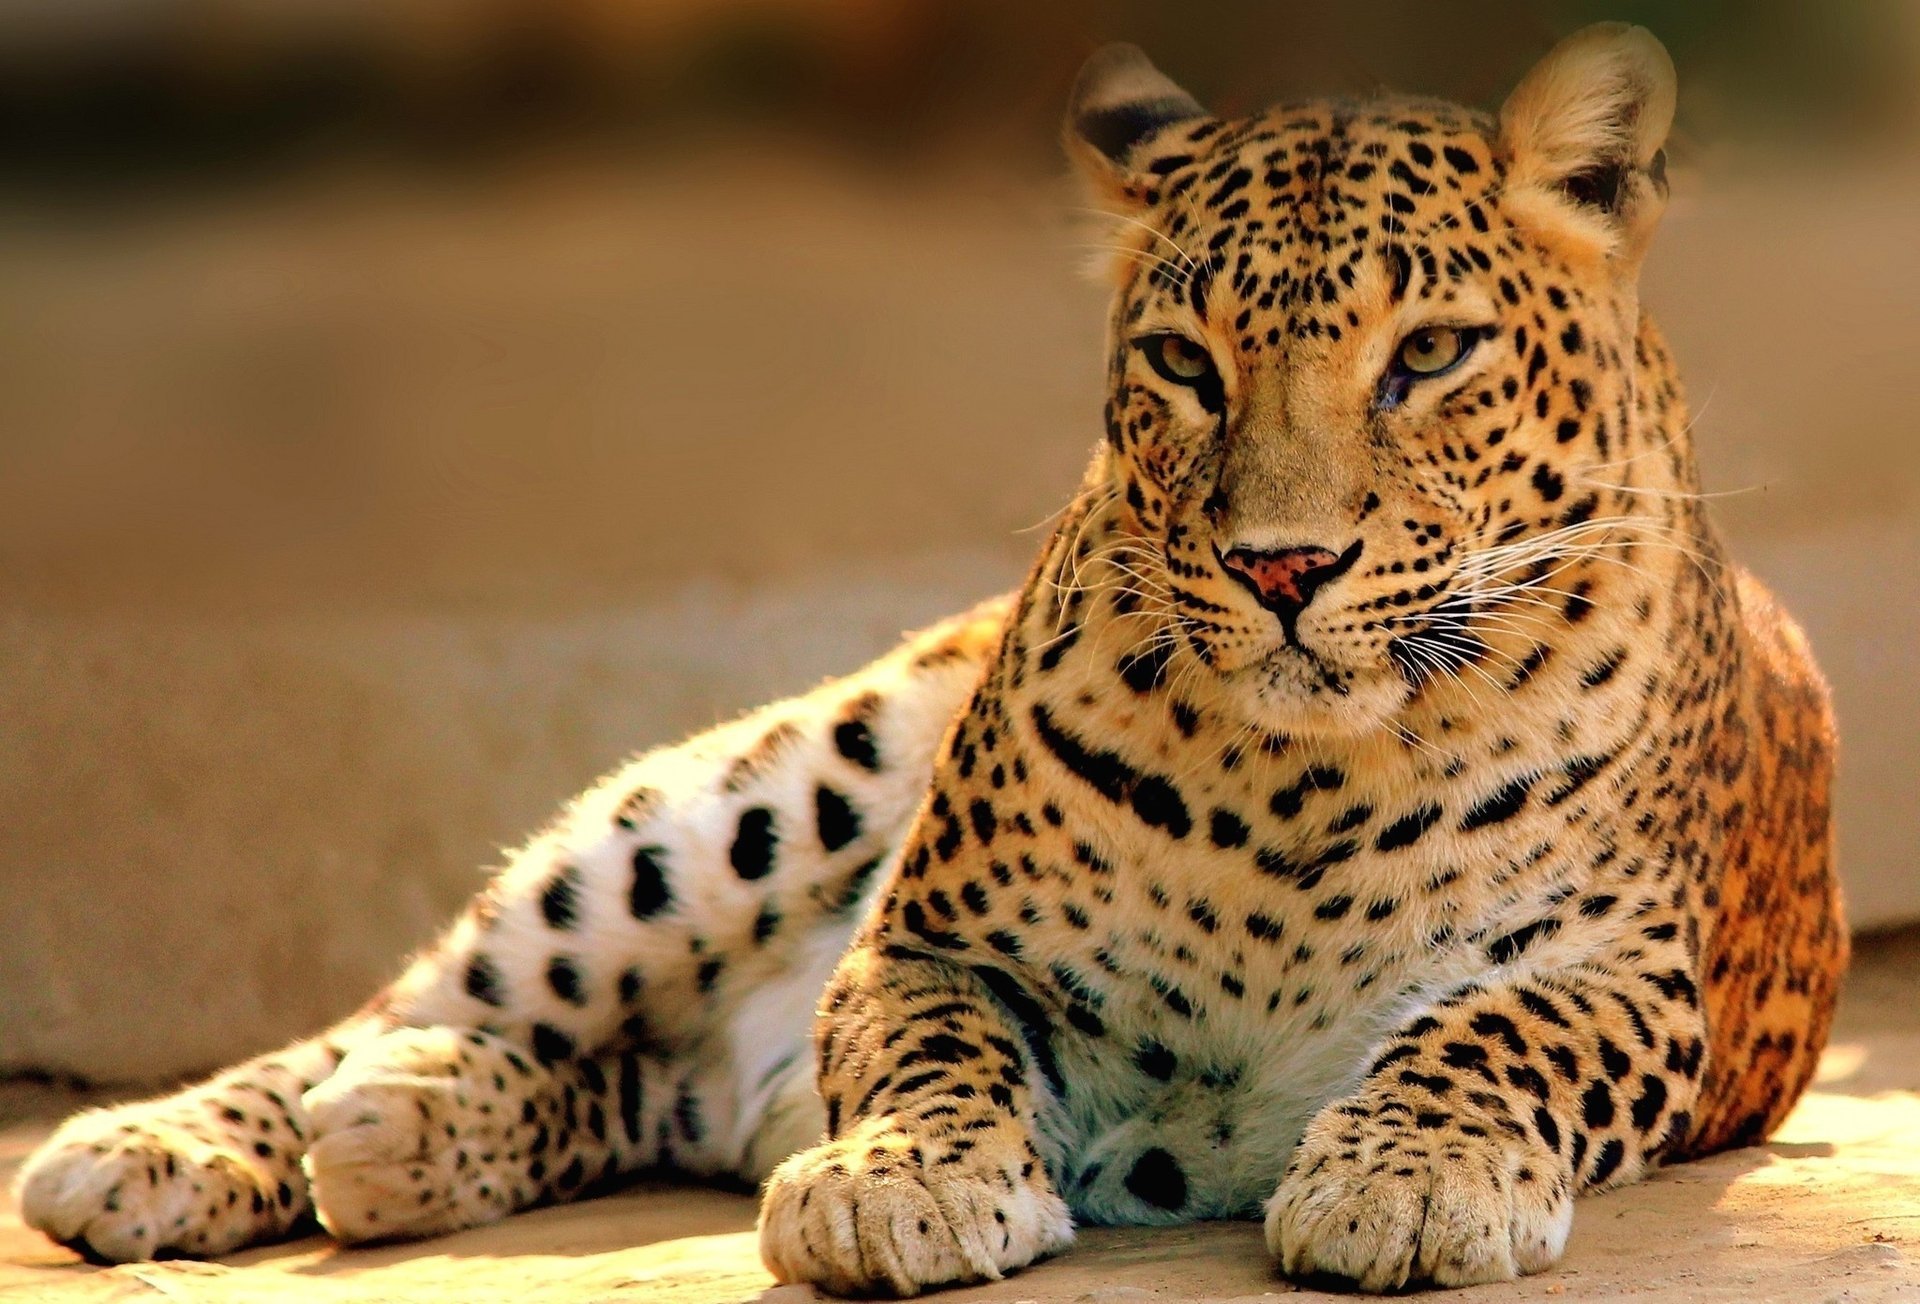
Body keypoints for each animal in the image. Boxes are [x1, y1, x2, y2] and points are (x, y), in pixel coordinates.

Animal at [17, 23, 1843, 1296]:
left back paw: (407, 1124)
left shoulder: (1624, 973)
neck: (1305, 784)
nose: (1281, 567)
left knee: (617, 1080)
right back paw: (163, 1143)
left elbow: (1491, 1038)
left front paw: (1407, 1182)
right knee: (437, 987)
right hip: (773, 787)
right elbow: (929, 1046)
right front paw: (899, 1182)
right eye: (1185, 365)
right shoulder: (934, 938)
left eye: (1434, 353)